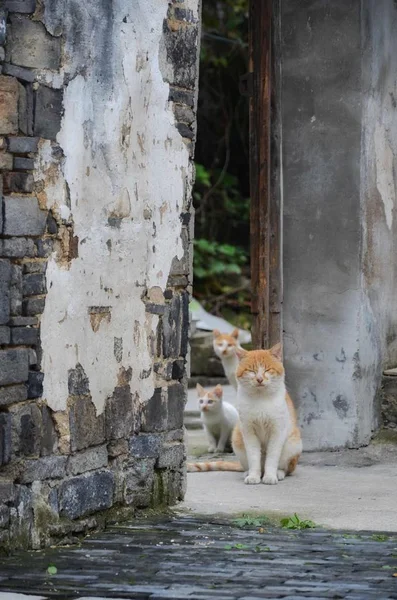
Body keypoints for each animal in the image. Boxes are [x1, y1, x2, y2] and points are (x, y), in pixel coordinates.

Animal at [187, 344, 302, 486]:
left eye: (267, 369)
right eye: (251, 370)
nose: (259, 379)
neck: (260, 399)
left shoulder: (277, 431)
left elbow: (272, 458)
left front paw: (270, 476)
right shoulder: (248, 431)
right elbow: (253, 457)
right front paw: (253, 476)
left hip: (293, 443)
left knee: (288, 468)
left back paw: (279, 473)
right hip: (237, 438)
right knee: (252, 465)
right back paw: (249, 472)